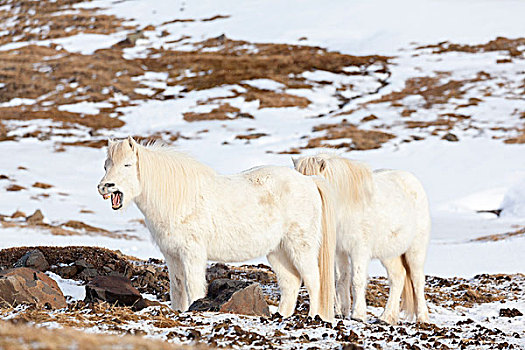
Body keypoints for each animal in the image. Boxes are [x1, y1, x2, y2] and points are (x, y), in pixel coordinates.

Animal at [97, 137, 336, 322]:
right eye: (106, 165)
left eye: (128, 165)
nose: (105, 187)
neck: (179, 198)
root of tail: (310, 182)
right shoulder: (172, 255)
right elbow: (177, 287)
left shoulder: (192, 253)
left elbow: (193, 287)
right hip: (278, 251)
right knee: (291, 283)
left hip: (300, 248)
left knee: (314, 282)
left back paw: (313, 317)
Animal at [292, 154, 428, 326]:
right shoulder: (339, 251)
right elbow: (341, 278)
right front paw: (340, 312)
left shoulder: (359, 250)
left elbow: (357, 280)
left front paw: (357, 314)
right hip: (389, 253)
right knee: (398, 277)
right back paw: (386, 317)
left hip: (415, 250)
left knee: (417, 280)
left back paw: (422, 318)